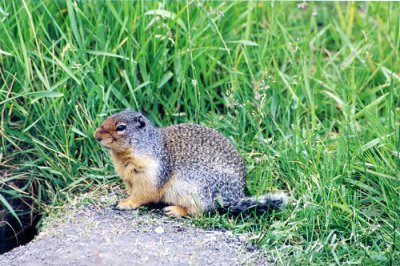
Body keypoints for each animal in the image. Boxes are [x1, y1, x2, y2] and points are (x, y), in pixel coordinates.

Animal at [94, 109, 288, 216]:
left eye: (121, 127)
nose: (96, 136)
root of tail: (233, 199)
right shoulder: (130, 179)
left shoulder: (151, 174)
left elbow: (143, 194)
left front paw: (125, 204)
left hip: (199, 193)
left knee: (199, 212)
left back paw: (174, 210)